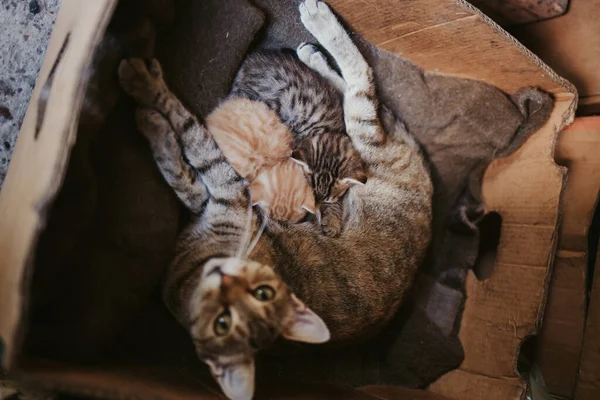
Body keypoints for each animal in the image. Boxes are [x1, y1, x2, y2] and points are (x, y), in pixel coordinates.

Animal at [230, 50, 364, 238]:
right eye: (311, 195)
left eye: (324, 199)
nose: (314, 209)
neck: (323, 129)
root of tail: (247, 63)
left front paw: (332, 219)